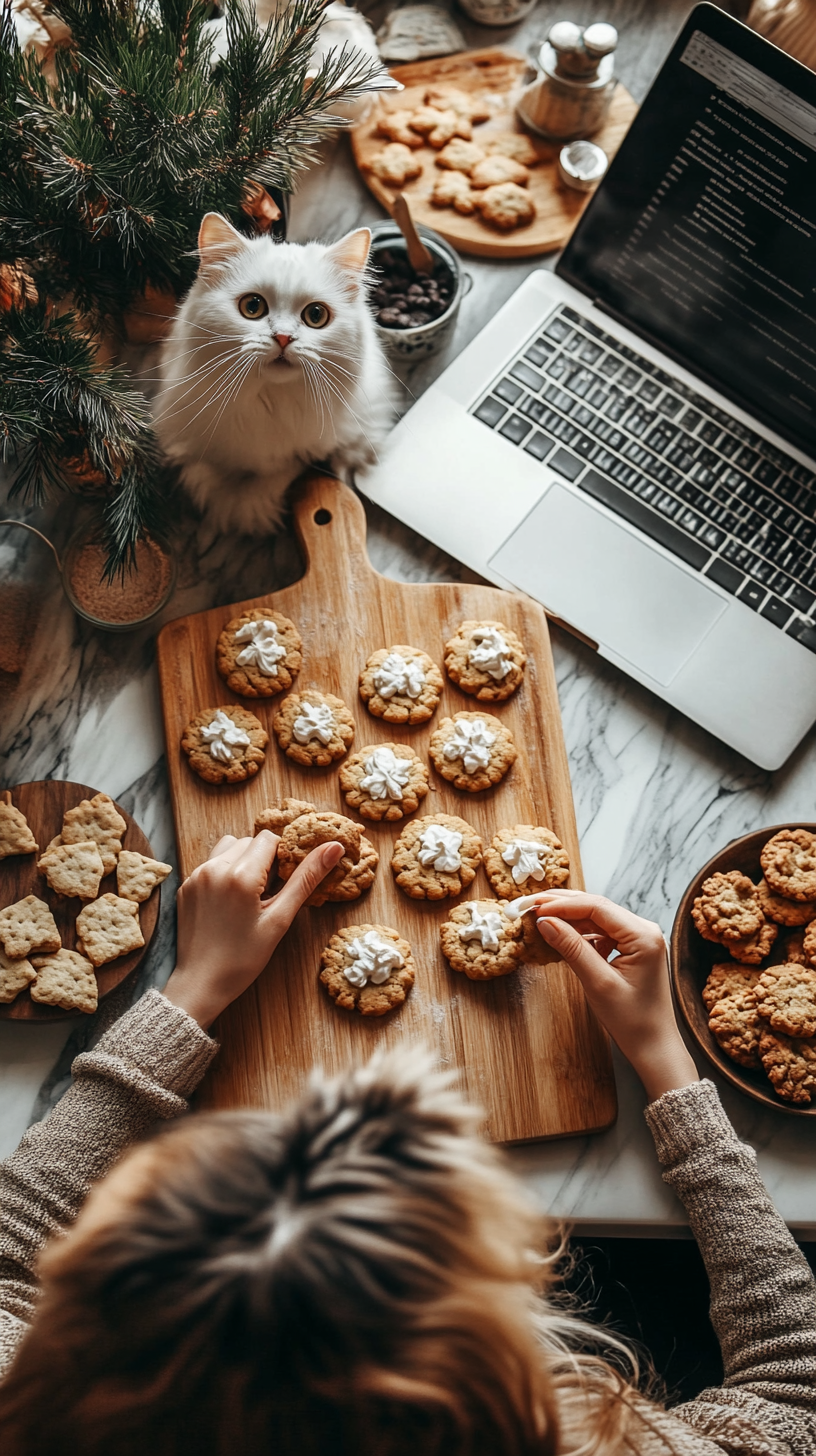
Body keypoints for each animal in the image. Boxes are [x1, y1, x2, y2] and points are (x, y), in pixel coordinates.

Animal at [154, 212, 396, 538]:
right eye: (252, 307)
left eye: (316, 315)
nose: (283, 337)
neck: (272, 401)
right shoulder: (193, 450)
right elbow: (228, 490)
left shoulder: (363, 427)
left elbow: (327, 462)